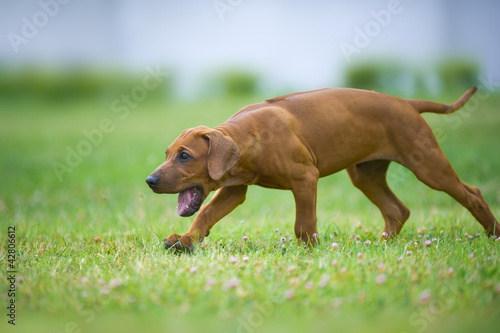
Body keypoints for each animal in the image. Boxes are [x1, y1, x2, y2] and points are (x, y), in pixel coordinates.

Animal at [146, 87, 500, 250]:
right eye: (167, 153)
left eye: (184, 156)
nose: (150, 180)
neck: (250, 137)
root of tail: (406, 102)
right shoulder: (234, 189)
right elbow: (205, 214)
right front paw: (186, 241)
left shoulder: (306, 178)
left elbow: (303, 224)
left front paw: (311, 252)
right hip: (365, 174)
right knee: (397, 210)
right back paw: (380, 247)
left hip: (427, 165)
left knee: (472, 194)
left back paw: (492, 235)